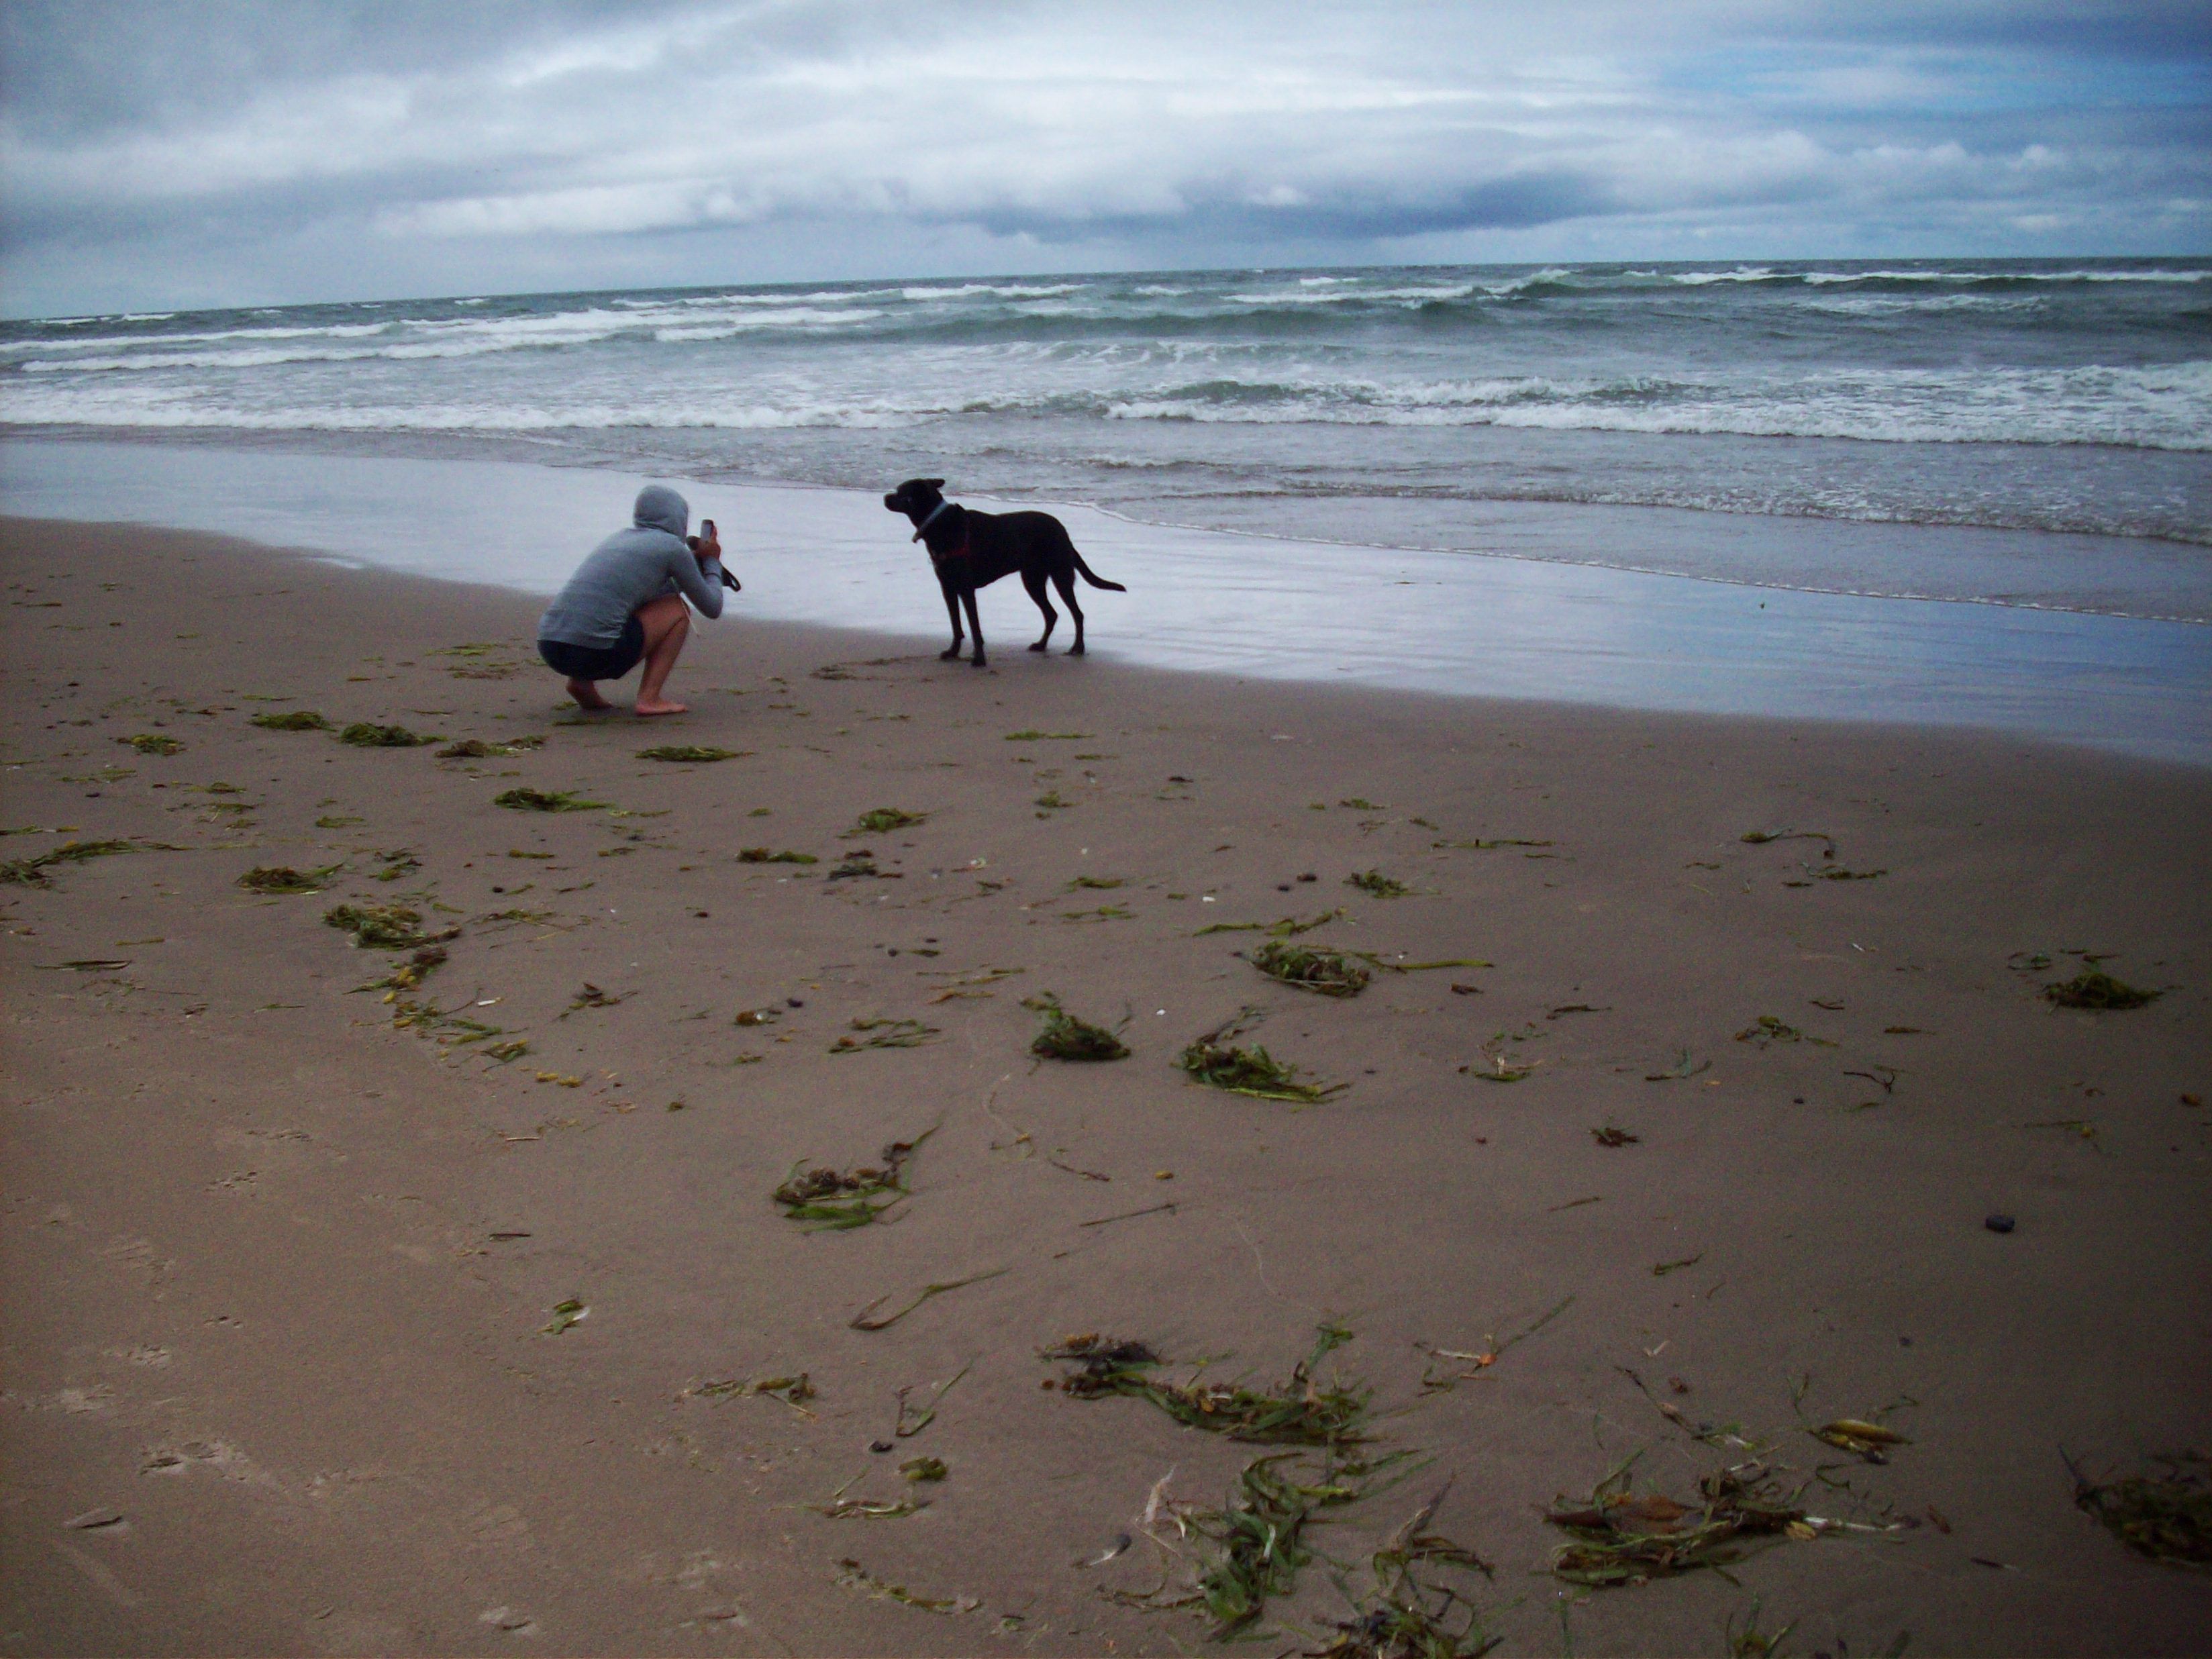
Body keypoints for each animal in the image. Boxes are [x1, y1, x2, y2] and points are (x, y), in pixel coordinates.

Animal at [880, 477, 1123, 668]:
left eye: (902, 492)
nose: (884, 497)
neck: (939, 523)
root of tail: (1064, 532)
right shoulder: (947, 587)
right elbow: (956, 625)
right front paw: (953, 652)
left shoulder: (966, 588)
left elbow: (974, 627)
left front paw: (979, 659)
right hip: (1032, 579)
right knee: (1051, 614)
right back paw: (1041, 645)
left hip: (1060, 574)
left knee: (1077, 613)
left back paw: (1078, 648)